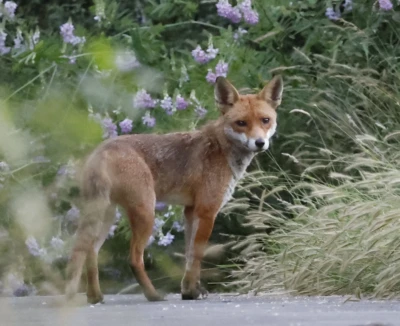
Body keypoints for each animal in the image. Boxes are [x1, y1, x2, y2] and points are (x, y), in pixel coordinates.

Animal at [65, 76, 282, 304]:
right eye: (241, 123)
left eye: (265, 120)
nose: (260, 143)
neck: (222, 149)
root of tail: (101, 151)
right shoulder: (207, 210)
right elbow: (196, 256)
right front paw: (191, 292)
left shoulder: (190, 210)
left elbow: (188, 257)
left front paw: (190, 290)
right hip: (145, 213)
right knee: (133, 258)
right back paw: (152, 295)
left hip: (107, 215)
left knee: (90, 251)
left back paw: (95, 296)